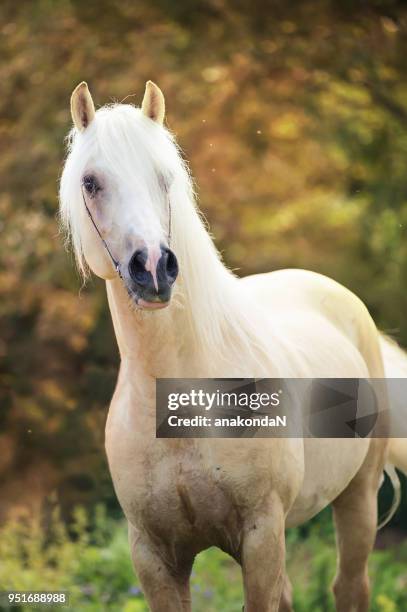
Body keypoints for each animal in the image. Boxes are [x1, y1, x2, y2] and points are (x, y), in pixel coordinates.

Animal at [59, 82, 406, 612]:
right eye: (91, 182)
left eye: (164, 177)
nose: (153, 268)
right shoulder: (153, 555)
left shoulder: (261, 535)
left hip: (358, 498)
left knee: (350, 586)